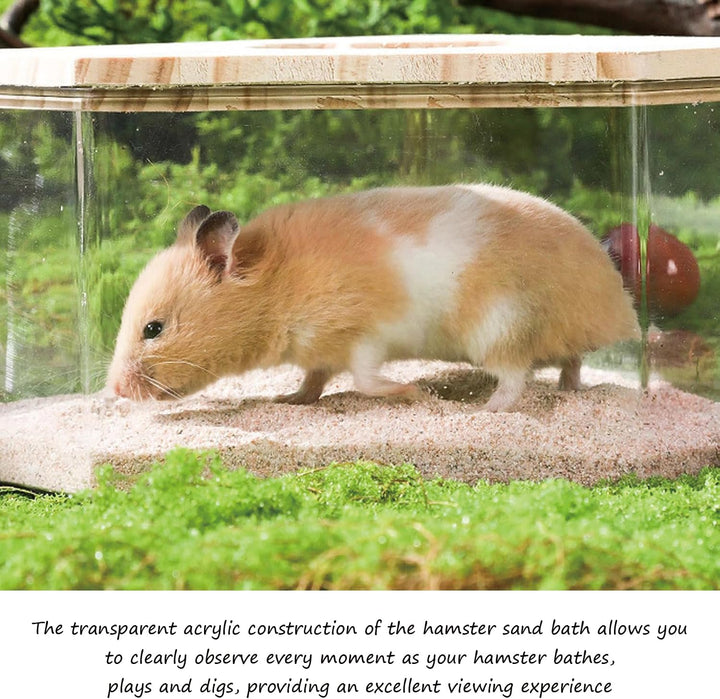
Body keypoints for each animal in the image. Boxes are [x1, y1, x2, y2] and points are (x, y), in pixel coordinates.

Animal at [107, 184, 640, 412]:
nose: (114, 390)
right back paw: (570, 391)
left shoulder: (363, 337)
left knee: (514, 381)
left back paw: (482, 410)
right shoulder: (320, 352)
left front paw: (415, 393)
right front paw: (288, 400)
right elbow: (313, 380)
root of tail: (619, 306)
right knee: (572, 362)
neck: (275, 291)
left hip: (499, 327)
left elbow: (365, 381)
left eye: (153, 329)